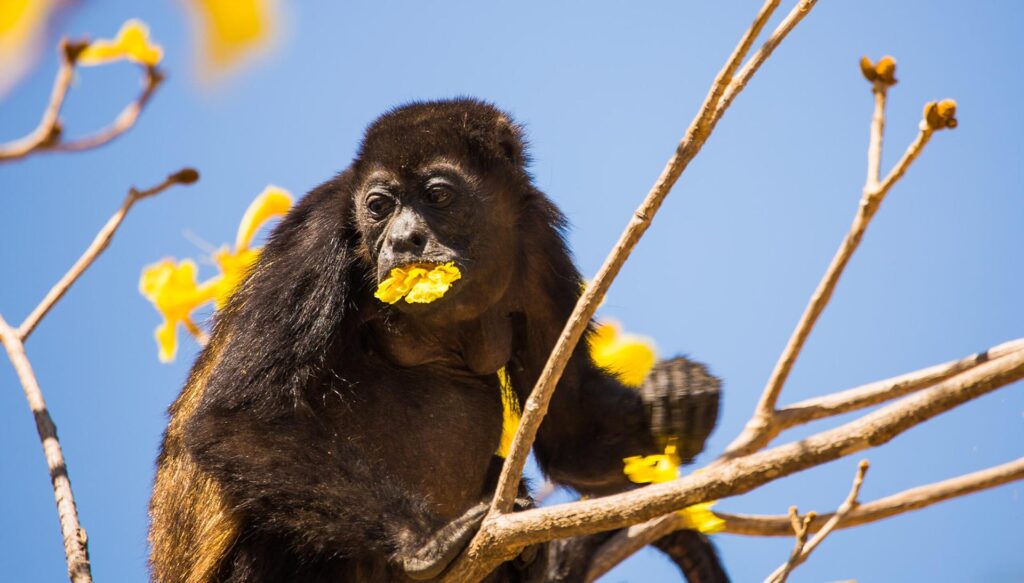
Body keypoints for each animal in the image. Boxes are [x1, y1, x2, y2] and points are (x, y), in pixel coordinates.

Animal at [149, 99, 729, 581]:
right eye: (378, 206)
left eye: (438, 195)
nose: (404, 240)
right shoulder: (319, 234)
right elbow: (235, 418)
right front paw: (419, 542)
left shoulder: (538, 243)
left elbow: (570, 428)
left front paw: (678, 394)